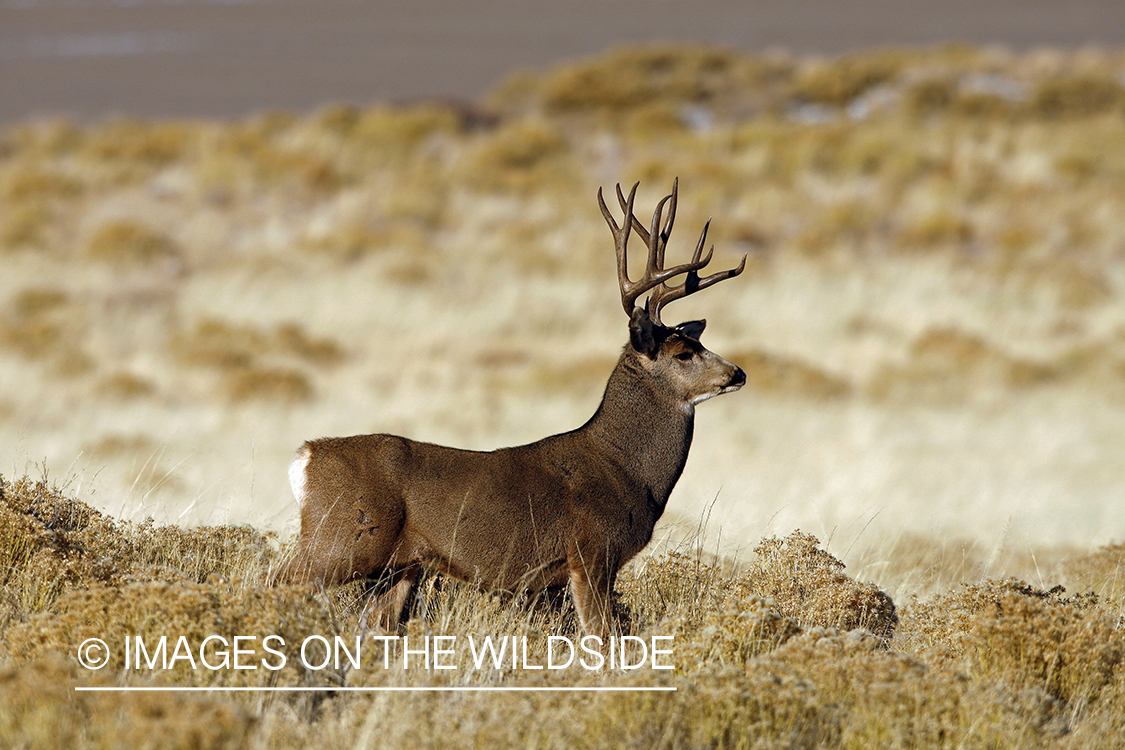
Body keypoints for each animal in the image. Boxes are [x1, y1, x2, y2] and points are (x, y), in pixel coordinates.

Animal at [277, 179, 747, 641]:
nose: (738, 373)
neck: (625, 469)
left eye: (698, 341)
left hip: (399, 566)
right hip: (340, 541)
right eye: (684, 353)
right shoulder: (592, 552)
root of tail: (306, 457)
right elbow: (602, 637)